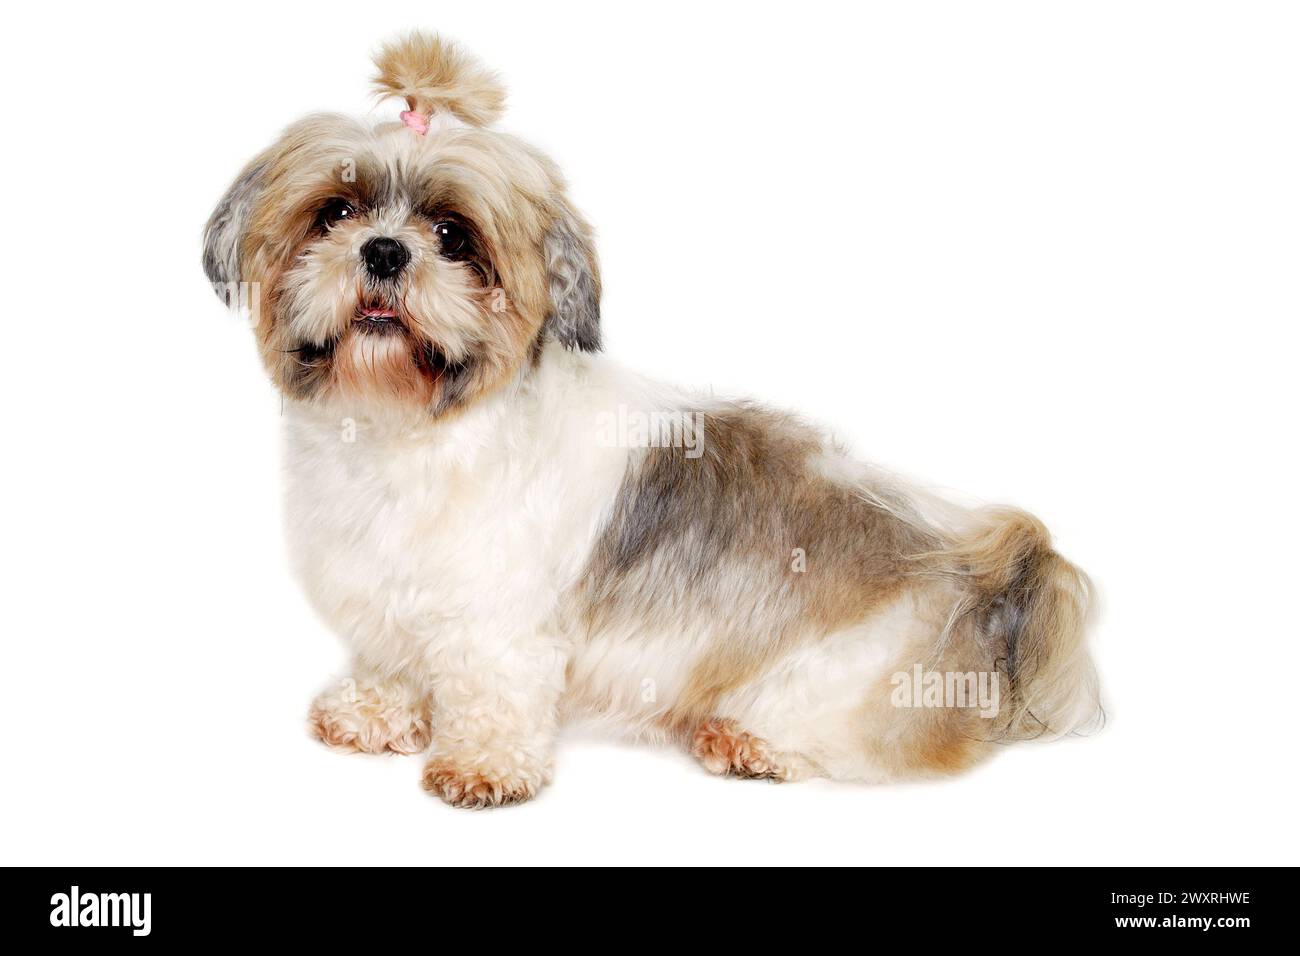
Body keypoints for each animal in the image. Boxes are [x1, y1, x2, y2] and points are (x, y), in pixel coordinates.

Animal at [202, 31, 1097, 806]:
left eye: (453, 236)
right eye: (334, 213)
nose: (385, 250)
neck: (408, 430)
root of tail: (986, 574)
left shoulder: (496, 616)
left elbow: (492, 683)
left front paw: (482, 763)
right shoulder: (385, 592)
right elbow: (393, 657)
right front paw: (377, 710)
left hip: (842, 670)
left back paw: (749, 742)